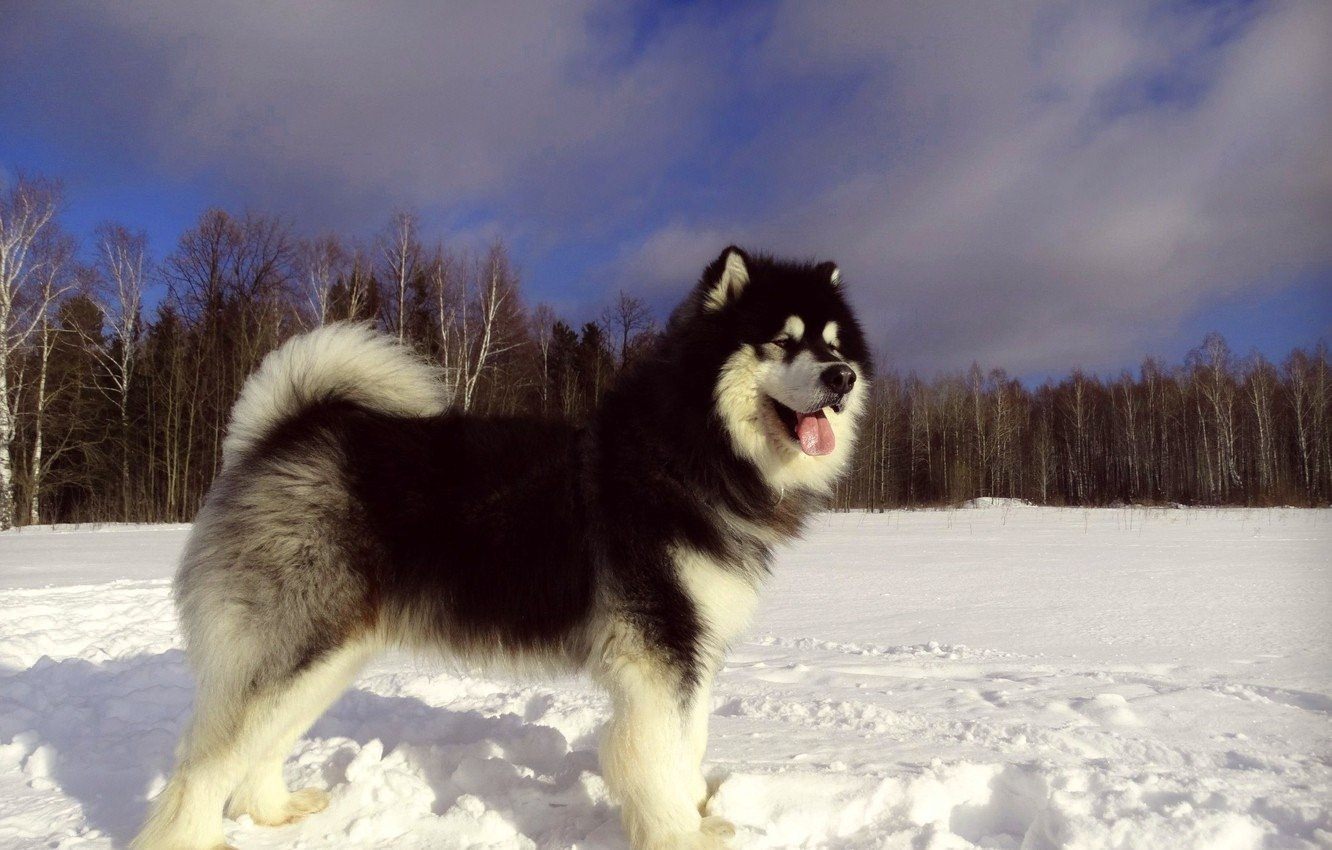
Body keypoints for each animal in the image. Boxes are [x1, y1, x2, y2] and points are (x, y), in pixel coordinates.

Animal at [129, 247, 868, 850]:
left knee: (258, 748)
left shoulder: (693, 650)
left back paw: (275, 811)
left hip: (327, 657)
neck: (687, 455)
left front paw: (699, 810)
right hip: (294, 644)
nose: (842, 378)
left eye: (836, 345)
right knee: (204, 764)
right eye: (781, 341)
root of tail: (281, 433)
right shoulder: (657, 651)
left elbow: (690, 744)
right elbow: (658, 754)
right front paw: (680, 835)